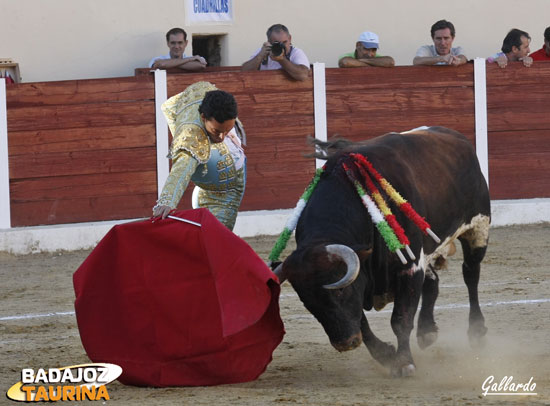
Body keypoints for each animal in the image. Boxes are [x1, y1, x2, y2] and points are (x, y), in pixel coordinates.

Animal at [276, 127, 492, 378]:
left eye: (339, 292)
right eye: (307, 301)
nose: (345, 343)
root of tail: (456, 136)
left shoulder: (409, 266)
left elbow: (400, 318)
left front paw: (404, 363)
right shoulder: (368, 278)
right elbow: (361, 321)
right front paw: (386, 355)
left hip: (478, 227)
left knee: (471, 274)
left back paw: (477, 331)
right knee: (433, 282)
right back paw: (427, 331)